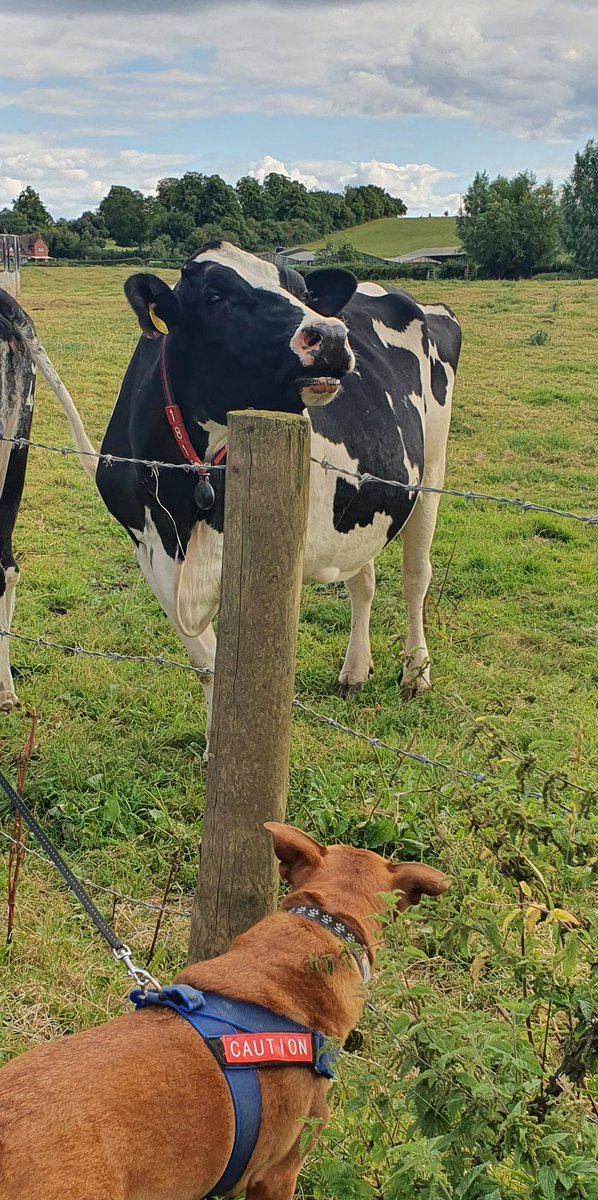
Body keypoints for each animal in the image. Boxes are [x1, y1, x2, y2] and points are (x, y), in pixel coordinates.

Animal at [0, 242, 461, 745]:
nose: (331, 336)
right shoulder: (152, 555)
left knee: (416, 576)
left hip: (432, 469)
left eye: (302, 292)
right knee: (363, 578)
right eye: (215, 297)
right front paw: (212, 747)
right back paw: (355, 671)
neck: (186, 486)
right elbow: (207, 661)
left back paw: (416, 673)